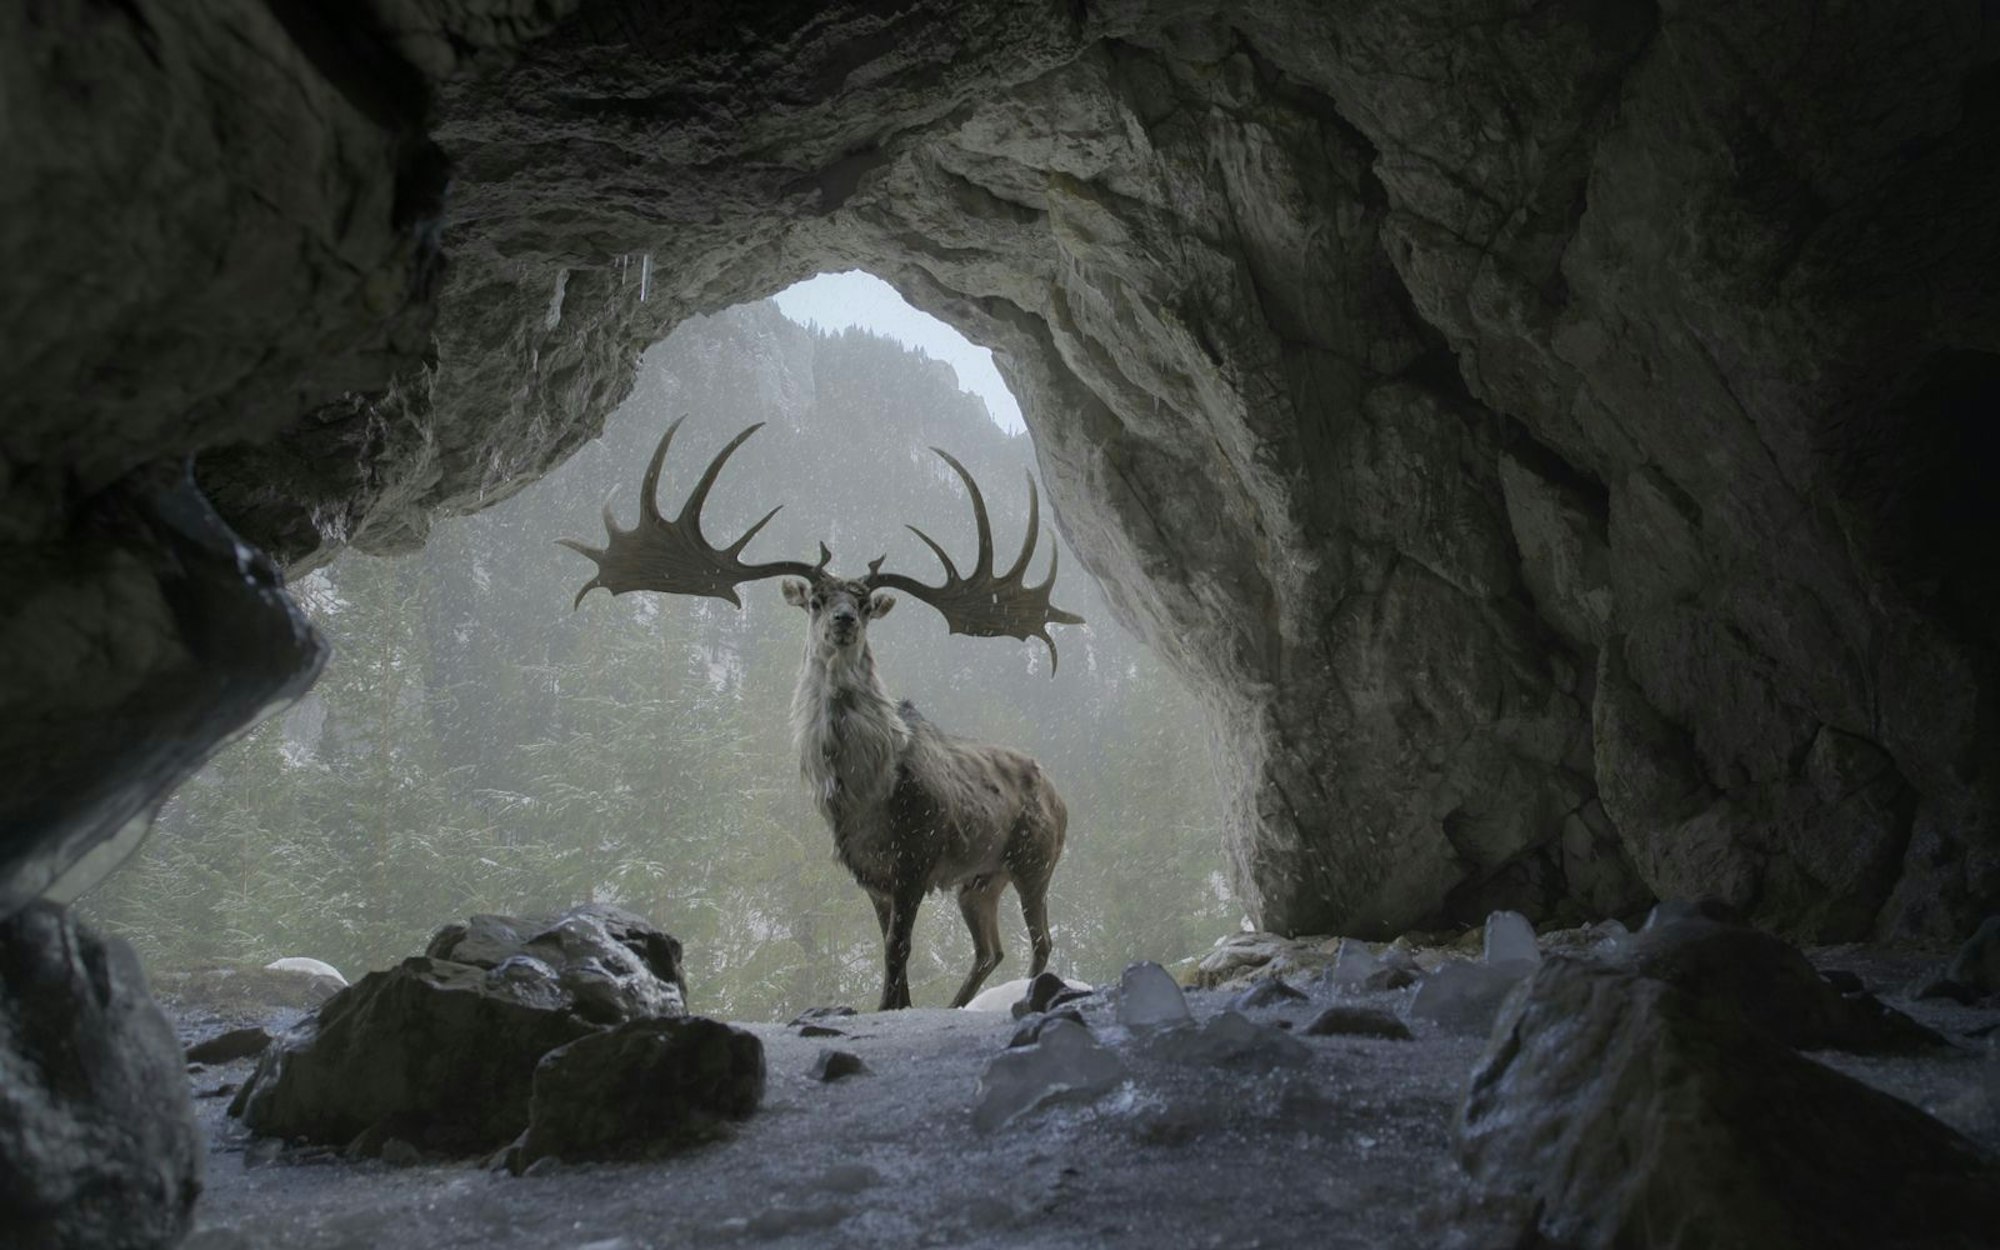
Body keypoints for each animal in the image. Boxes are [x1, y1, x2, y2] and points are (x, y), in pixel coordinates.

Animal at [559, 417, 1082, 1011]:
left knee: (1041, 940)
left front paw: (889, 1007)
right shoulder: (869, 872)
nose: (844, 619)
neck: (863, 792)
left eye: (865, 601)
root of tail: (1060, 794)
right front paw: (895, 1007)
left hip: (1035, 857)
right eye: (817, 598)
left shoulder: (916, 855)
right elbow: (891, 955)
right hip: (980, 879)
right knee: (989, 949)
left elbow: (898, 952)